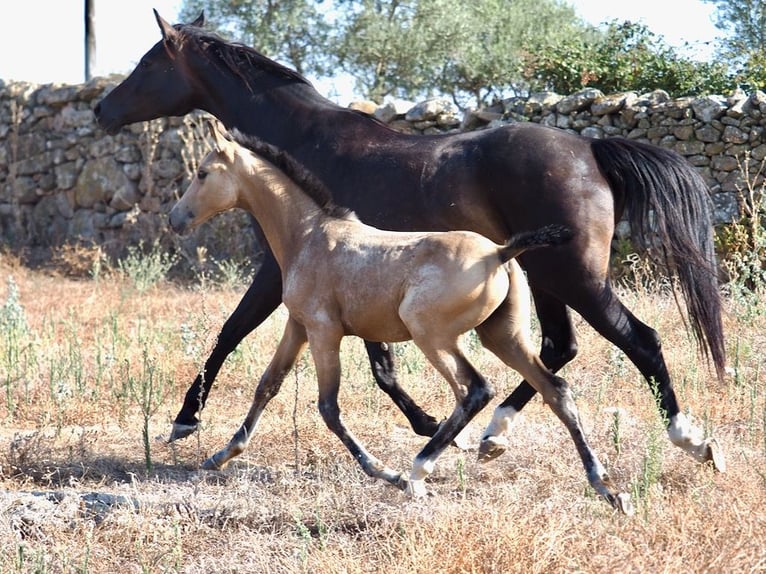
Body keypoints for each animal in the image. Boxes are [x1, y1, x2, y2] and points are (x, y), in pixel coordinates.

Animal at [94, 11, 728, 474]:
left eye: (148, 62)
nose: (101, 109)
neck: (302, 140)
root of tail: (592, 148)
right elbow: (381, 365)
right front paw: (430, 429)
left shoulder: (279, 274)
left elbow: (232, 333)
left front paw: (185, 420)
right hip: (543, 278)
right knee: (557, 349)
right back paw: (494, 434)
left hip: (573, 276)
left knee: (638, 340)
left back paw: (691, 439)